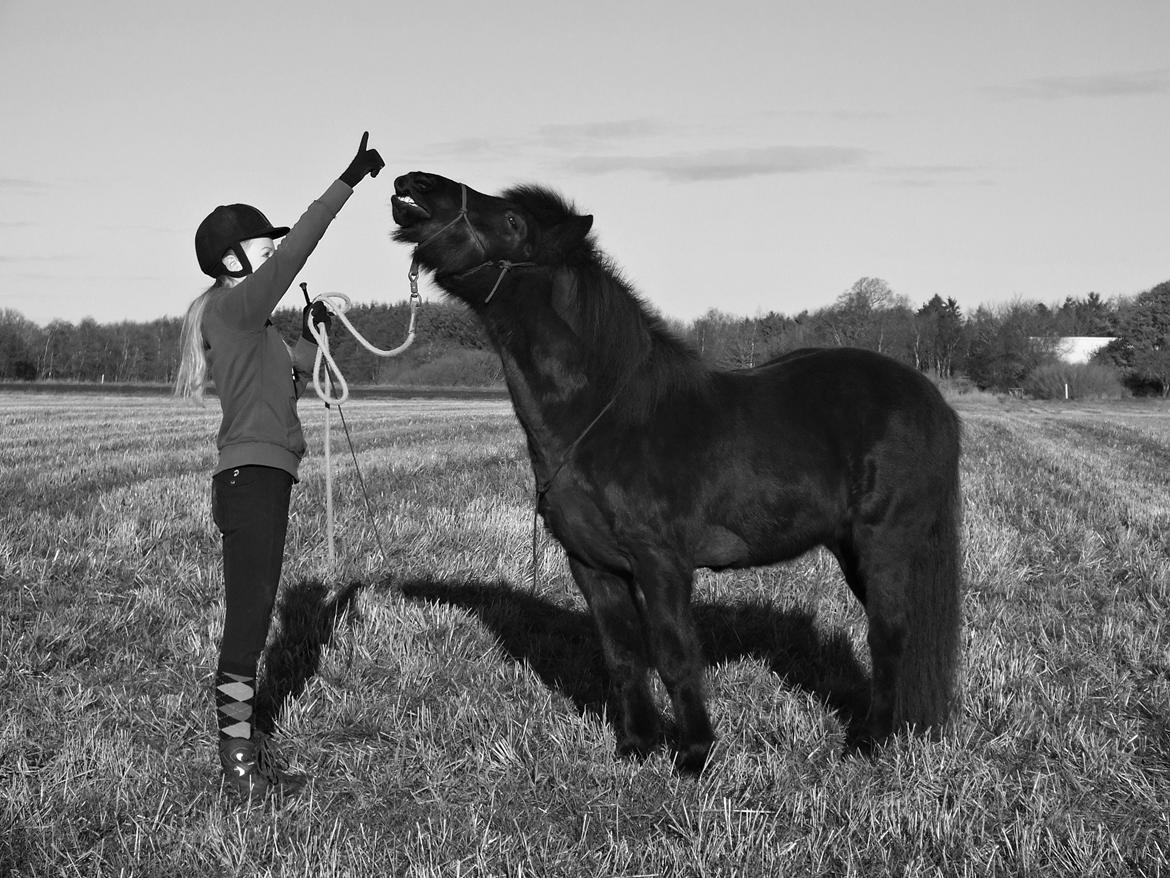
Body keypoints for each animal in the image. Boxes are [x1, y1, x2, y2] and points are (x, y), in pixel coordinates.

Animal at [390, 169, 959, 767]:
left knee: (889, 635)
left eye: (512, 221)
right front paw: (637, 746)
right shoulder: (594, 566)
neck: (607, 414)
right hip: (852, 548)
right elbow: (622, 656)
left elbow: (674, 655)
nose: (416, 185)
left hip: (884, 543)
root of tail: (930, 399)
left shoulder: (661, 562)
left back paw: (871, 741)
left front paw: (694, 755)